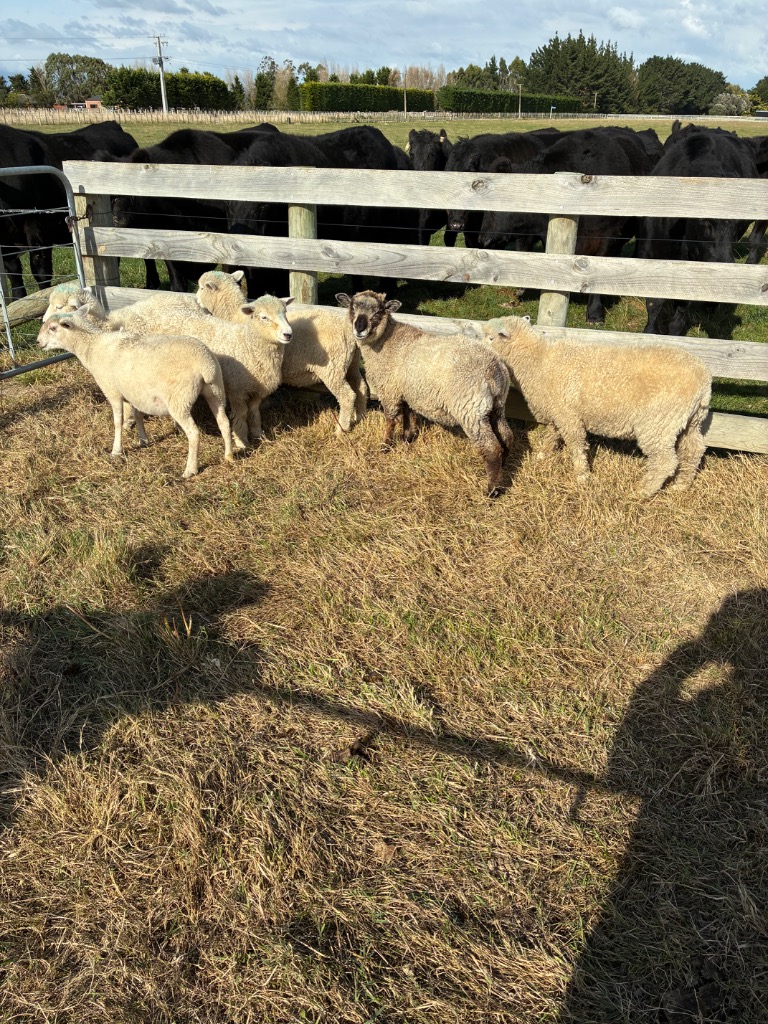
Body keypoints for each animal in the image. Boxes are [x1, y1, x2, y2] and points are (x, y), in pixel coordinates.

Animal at [37, 314, 234, 479]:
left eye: (53, 328)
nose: (38, 342)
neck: (92, 347)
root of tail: (205, 365)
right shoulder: (134, 393)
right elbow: (138, 416)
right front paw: (143, 440)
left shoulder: (112, 391)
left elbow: (117, 422)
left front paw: (116, 450)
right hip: (216, 390)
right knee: (224, 422)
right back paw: (229, 456)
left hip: (179, 399)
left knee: (193, 433)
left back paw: (190, 469)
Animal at [196, 270, 367, 432]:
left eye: (202, 287)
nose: (197, 300)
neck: (233, 313)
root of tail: (349, 330)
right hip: (351, 363)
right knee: (362, 388)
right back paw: (359, 417)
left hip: (333, 369)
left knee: (347, 396)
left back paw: (341, 429)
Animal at [336, 289, 515, 496]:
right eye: (352, 307)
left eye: (379, 311)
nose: (359, 327)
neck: (386, 341)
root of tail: (495, 368)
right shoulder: (408, 391)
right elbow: (409, 414)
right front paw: (408, 438)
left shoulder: (390, 391)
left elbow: (390, 420)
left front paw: (385, 446)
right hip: (496, 407)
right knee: (506, 438)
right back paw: (502, 471)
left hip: (471, 410)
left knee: (491, 448)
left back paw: (492, 490)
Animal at [480, 315, 712, 497]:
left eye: (491, 338)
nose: (478, 346)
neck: (539, 361)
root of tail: (704, 379)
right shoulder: (557, 409)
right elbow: (552, 433)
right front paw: (543, 454)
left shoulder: (568, 415)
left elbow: (575, 444)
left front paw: (582, 475)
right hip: (689, 421)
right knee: (694, 450)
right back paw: (681, 485)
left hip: (658, 422)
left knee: (665, 461)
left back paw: (643, 491)